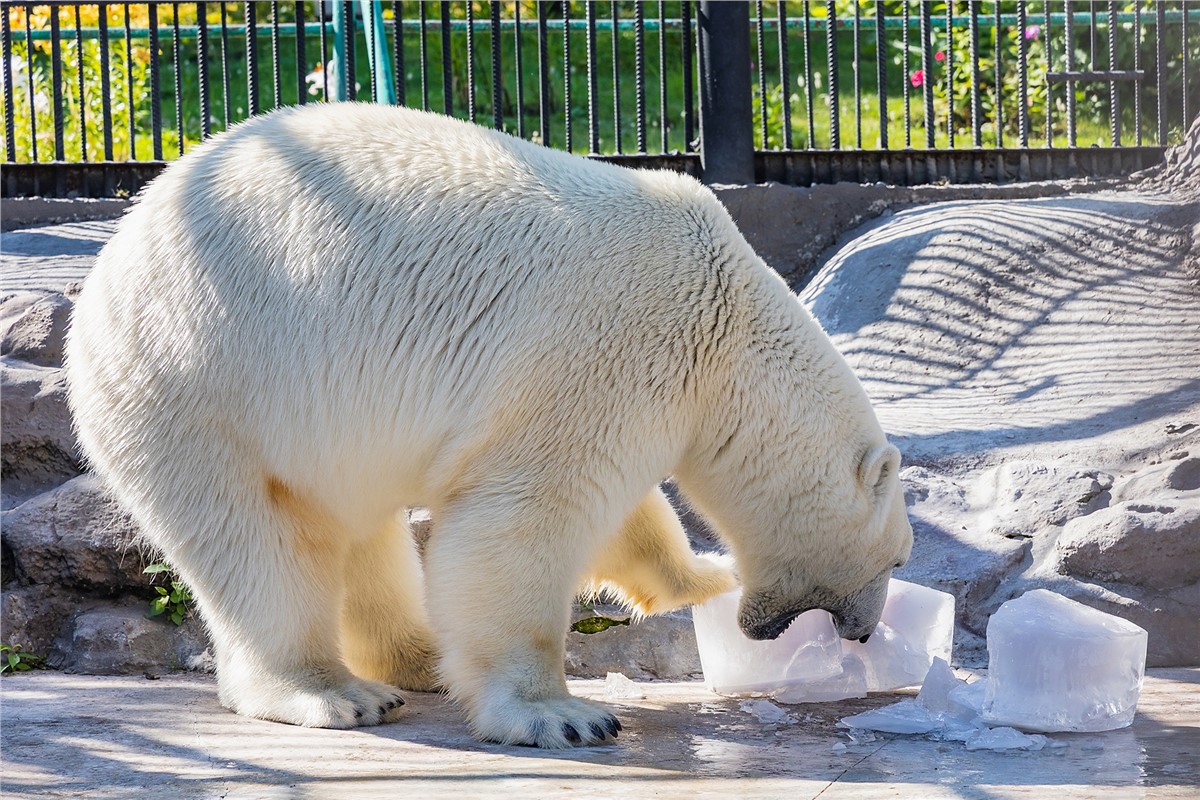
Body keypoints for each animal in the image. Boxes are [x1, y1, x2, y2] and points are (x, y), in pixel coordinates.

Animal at [63, 103, 907, 748]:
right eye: (896, 556)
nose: (866, 634)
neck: (729, 327)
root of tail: (110, 261)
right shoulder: (611, 344)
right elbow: (524, 522)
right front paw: (562, 714)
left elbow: (624, 515)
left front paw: (702, 575)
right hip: (200, 383)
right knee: (261, 541)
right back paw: (334, 692)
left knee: (360, 530)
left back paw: (415, 656)